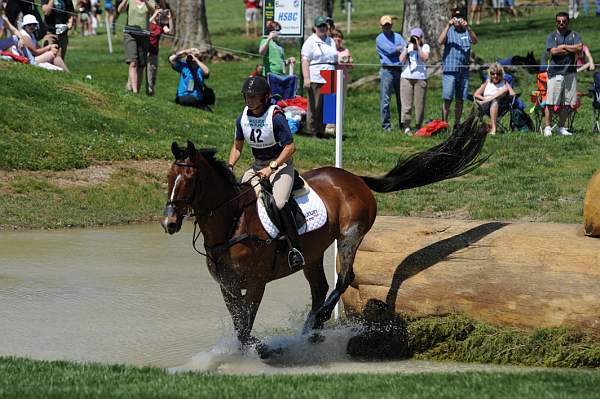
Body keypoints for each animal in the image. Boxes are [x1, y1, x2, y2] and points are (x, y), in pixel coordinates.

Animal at [162, 112, 490, 356]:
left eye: (189, 178)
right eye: (168, 177)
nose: (169, 223)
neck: (231, 222)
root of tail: (355, 178)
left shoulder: (255, 283)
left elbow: (246, 324)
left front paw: (262, 349)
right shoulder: (227, 285)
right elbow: (239, 324)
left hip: (350, 235)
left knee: (344, 278)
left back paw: (318, 322)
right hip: (312, 252)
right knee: (320, 288)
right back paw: (310, 331)